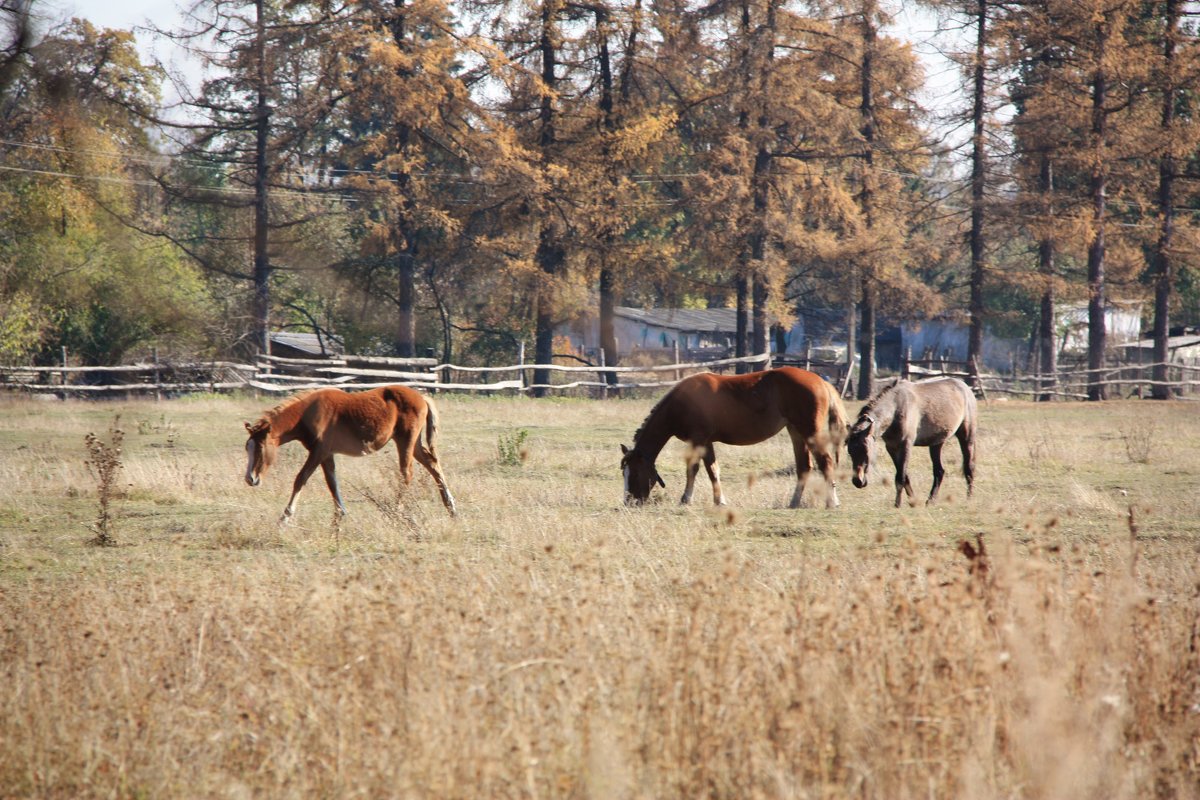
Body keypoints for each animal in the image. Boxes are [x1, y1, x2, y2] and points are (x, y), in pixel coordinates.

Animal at [243, 383, 453, 522]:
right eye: (248, 448)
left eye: (260, 448)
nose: (250, 479)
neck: (307, 414)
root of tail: (422, 397)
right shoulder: (327, 454)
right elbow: (332, 483)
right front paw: (341, 513)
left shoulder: (318, 452)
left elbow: (301, 479)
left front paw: (285, 517)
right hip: (414, 443)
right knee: (433, 464)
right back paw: (451, 506)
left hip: (405, 441)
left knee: (406, 473)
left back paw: (397, 510)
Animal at [619, 367, 844, 506]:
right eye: (624, 473)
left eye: (635, 474)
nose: (629, 502)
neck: (681, 403)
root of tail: (821, 382)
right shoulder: (707, 442)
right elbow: (713, 470)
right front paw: (719, 500)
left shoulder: (698, 440)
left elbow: (693, 469)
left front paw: (686, 499)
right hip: (796, 432)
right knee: (804, 467)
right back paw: (794, 502)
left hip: (810, 432)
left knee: (826, 462)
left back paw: (832, 501)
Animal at [844, 376, 974, 506]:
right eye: (850, 452)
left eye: (867, 452)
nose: (858, 481)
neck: (895, 408)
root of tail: (965, 386)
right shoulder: (891, 447)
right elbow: (904, 476)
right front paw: (913, 501)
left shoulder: (905, 445)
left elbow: (900, 477)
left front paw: (898, 504)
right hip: (936, 443)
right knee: (939, 471)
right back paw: (931, 501)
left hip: (966, 436)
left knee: (969, 467)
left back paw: (969, 498)